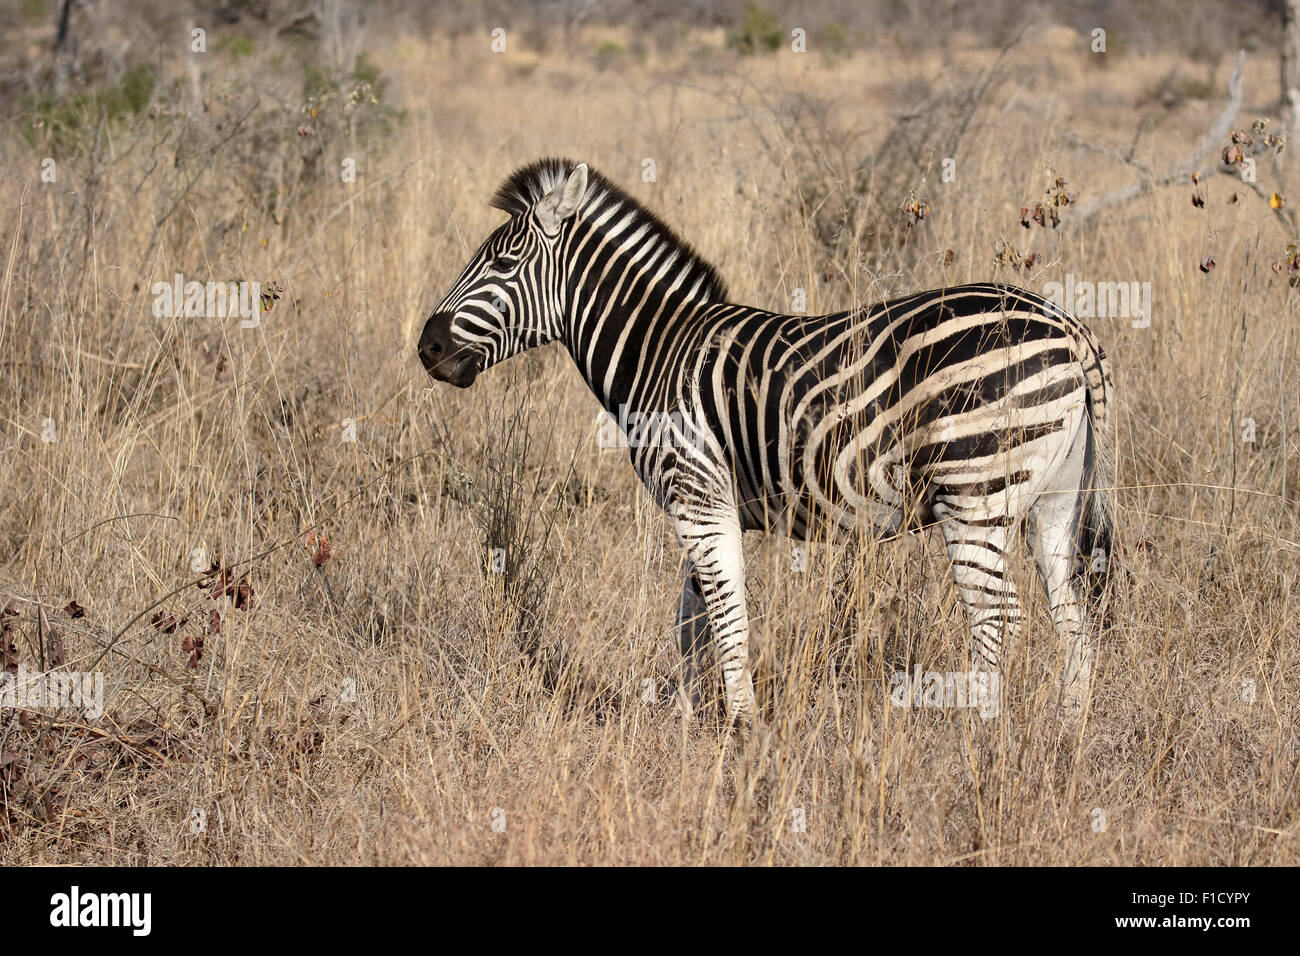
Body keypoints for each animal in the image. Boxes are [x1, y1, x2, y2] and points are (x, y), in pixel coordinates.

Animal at [421, 158, 1112, 723]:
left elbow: (729, 620)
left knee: (1000, 618)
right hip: (1052, 500)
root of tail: (1069, 328)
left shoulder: (697, 494)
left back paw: (974, 741)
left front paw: (742, 729)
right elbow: (694, 623)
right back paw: (1065, 739)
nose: (427, 347)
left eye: (504, 263)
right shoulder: (704, 501)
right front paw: (695, 725)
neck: (658, 353)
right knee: (1072, 620)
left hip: (975, 493)